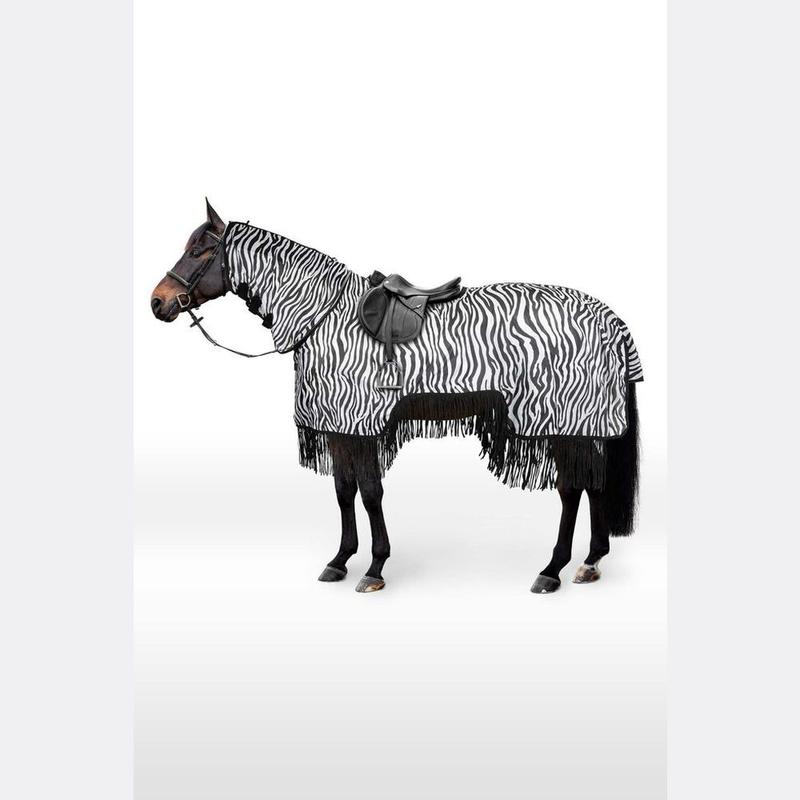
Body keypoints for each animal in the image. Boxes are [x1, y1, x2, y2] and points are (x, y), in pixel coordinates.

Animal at [151, 201, 643, 594]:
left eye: (200, 251)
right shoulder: (340, 427)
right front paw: (340, 560)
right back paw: (590, 562)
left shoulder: (360, 423)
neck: (326, 317)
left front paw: (375, 568)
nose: (158, 302)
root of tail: (610, 319)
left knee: (572, 488)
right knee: (594, 483)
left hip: (563, 418)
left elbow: (370, 492)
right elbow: (344, 490)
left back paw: (553, 569)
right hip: (582, 423)